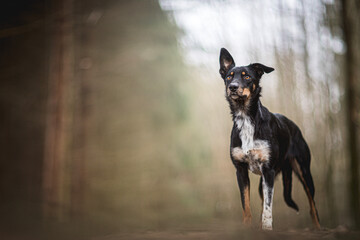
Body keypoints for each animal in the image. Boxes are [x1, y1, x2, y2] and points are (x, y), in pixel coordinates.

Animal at [218, 48, 320, 231]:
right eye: (229, 76)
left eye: (247, 76)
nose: (233, 87)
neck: (247, 119)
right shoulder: (241, 170)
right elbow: (246, 204)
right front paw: (247, 227)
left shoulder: (268, 171)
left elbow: (267, 207)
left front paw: (267, 228)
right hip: (264, 181)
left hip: (304, 171)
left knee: (312, 206)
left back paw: (318, 227)